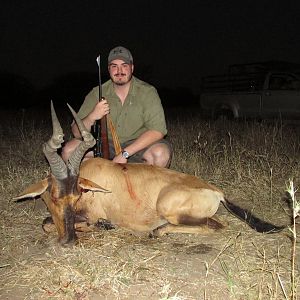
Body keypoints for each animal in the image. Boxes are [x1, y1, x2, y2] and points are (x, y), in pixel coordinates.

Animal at [14, 102, 284, 245]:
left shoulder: (91, 214)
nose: (69, 240)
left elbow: (48, 224)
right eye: (55, 197)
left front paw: (104, 226)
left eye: (76, 195)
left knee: (217, 225)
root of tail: (216, 191)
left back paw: (158, 230)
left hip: (170, 208)